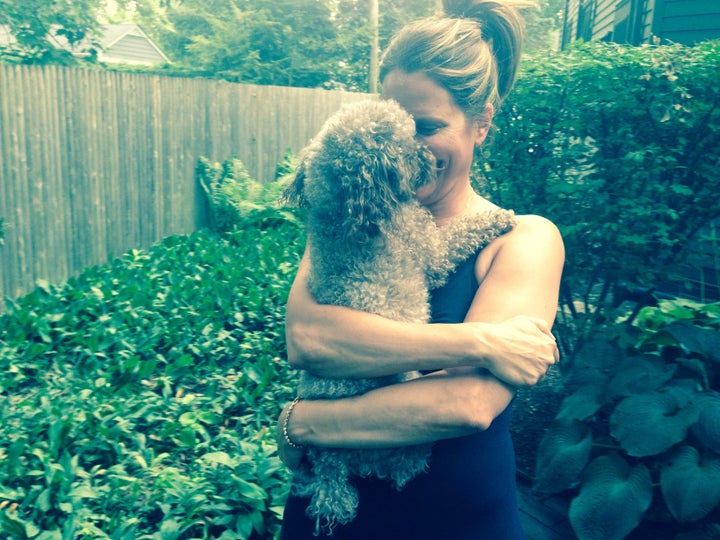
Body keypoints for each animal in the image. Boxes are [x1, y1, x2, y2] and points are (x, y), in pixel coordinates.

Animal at [282, 99, 516, 532]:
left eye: (419, 131)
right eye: (406, 145)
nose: (426, 159)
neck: (343, 216)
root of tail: (331, 472)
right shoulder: (431, 252)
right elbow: (462, 233)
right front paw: (500, 217)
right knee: (396, 465)